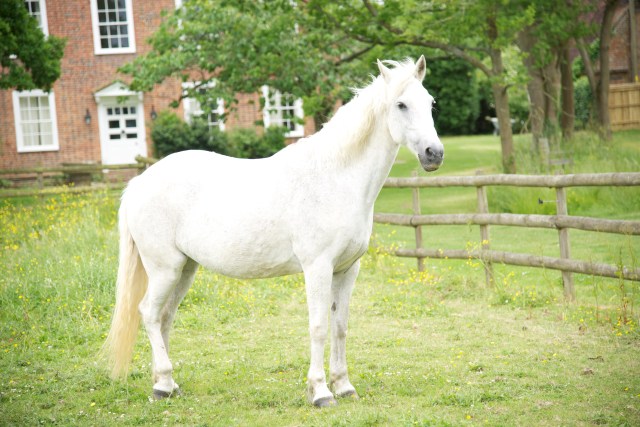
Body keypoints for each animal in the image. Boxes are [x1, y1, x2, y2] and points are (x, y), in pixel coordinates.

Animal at [102, 56, 444, 407]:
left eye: (430, 102)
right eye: (401, 104)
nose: (434, 153)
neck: (335, 176)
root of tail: (139, 182)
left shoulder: (347, 269)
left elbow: (340, 327)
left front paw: (344, 385)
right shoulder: (318, 268)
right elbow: (319, 326)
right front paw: (321, 392)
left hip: (185, 269)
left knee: (165, 316)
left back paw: (167, 385)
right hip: (164, 268)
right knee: (149, 313)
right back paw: (163, 382)